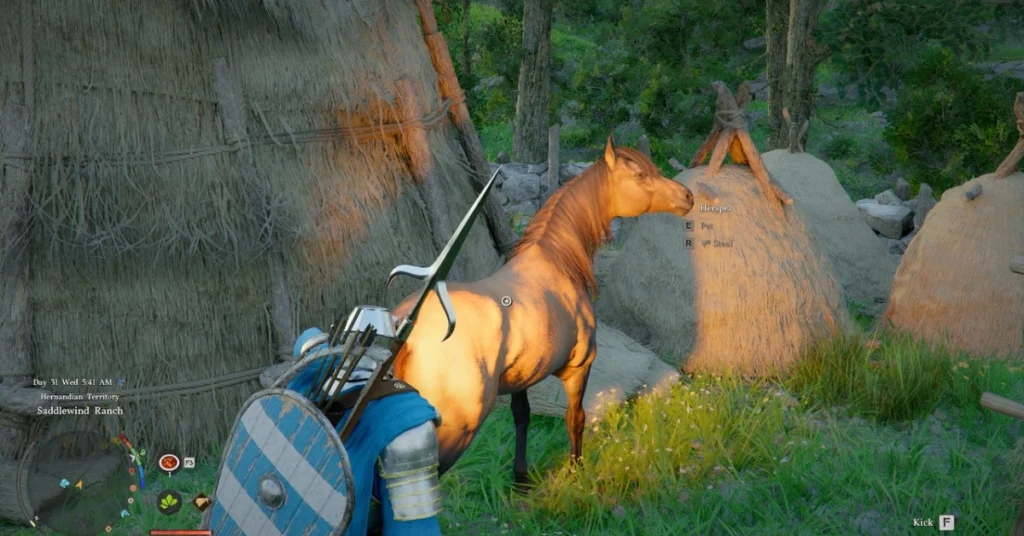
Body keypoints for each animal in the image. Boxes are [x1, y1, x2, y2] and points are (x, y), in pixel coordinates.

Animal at [391, 137, 694, 484]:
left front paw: (521, 477)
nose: (687, 197)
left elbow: (522, 417)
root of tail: (406, 333)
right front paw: (576, 470)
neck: (556, 261)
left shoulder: (522, 378)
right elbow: (575, 418)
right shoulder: (579, 367)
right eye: (640, 175)